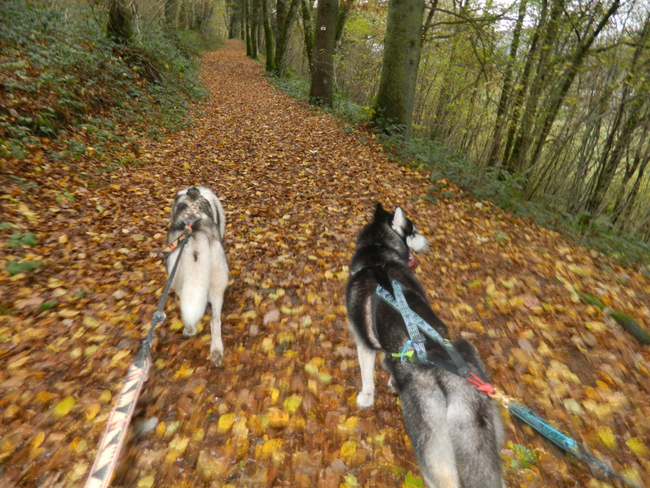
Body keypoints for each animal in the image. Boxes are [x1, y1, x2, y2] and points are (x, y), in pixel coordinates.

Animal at [344, 203, 502, 488]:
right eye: (414, 230)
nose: (428, 243)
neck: (377, 259)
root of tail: (449, 369)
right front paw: (391, 381)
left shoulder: (364, 342)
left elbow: (367, 378)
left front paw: (366, 398)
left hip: (429, 443)